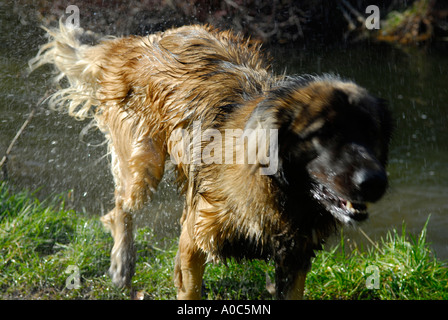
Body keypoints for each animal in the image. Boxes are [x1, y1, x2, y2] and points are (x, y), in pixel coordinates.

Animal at [29, 23, 392, 300]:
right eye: (322, 134)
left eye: (371, 132)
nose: (375, 182)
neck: (281, 193)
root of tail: (139, 42)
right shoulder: (194, 238)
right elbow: (189, 287)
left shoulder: (295, 258)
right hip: (143, 165)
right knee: (121, 208)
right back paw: (122, 263)